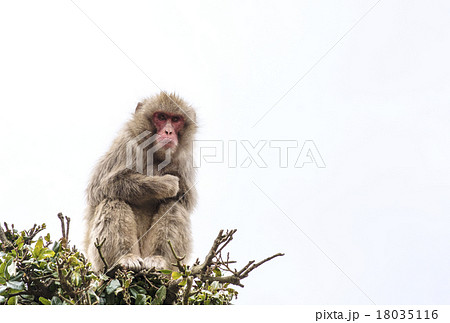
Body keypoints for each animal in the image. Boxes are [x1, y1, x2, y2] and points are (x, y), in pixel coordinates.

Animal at [84, 92, 197, 272]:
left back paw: (158, 260)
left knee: (173, 205)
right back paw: (125, 258)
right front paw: (165, 183)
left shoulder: (185, 161)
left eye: (176, 119)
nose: (168, 131)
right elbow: (101, 186)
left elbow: (185, 199)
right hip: (98, 258)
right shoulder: (127, 142)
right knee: (113, 200)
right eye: (161, 117)